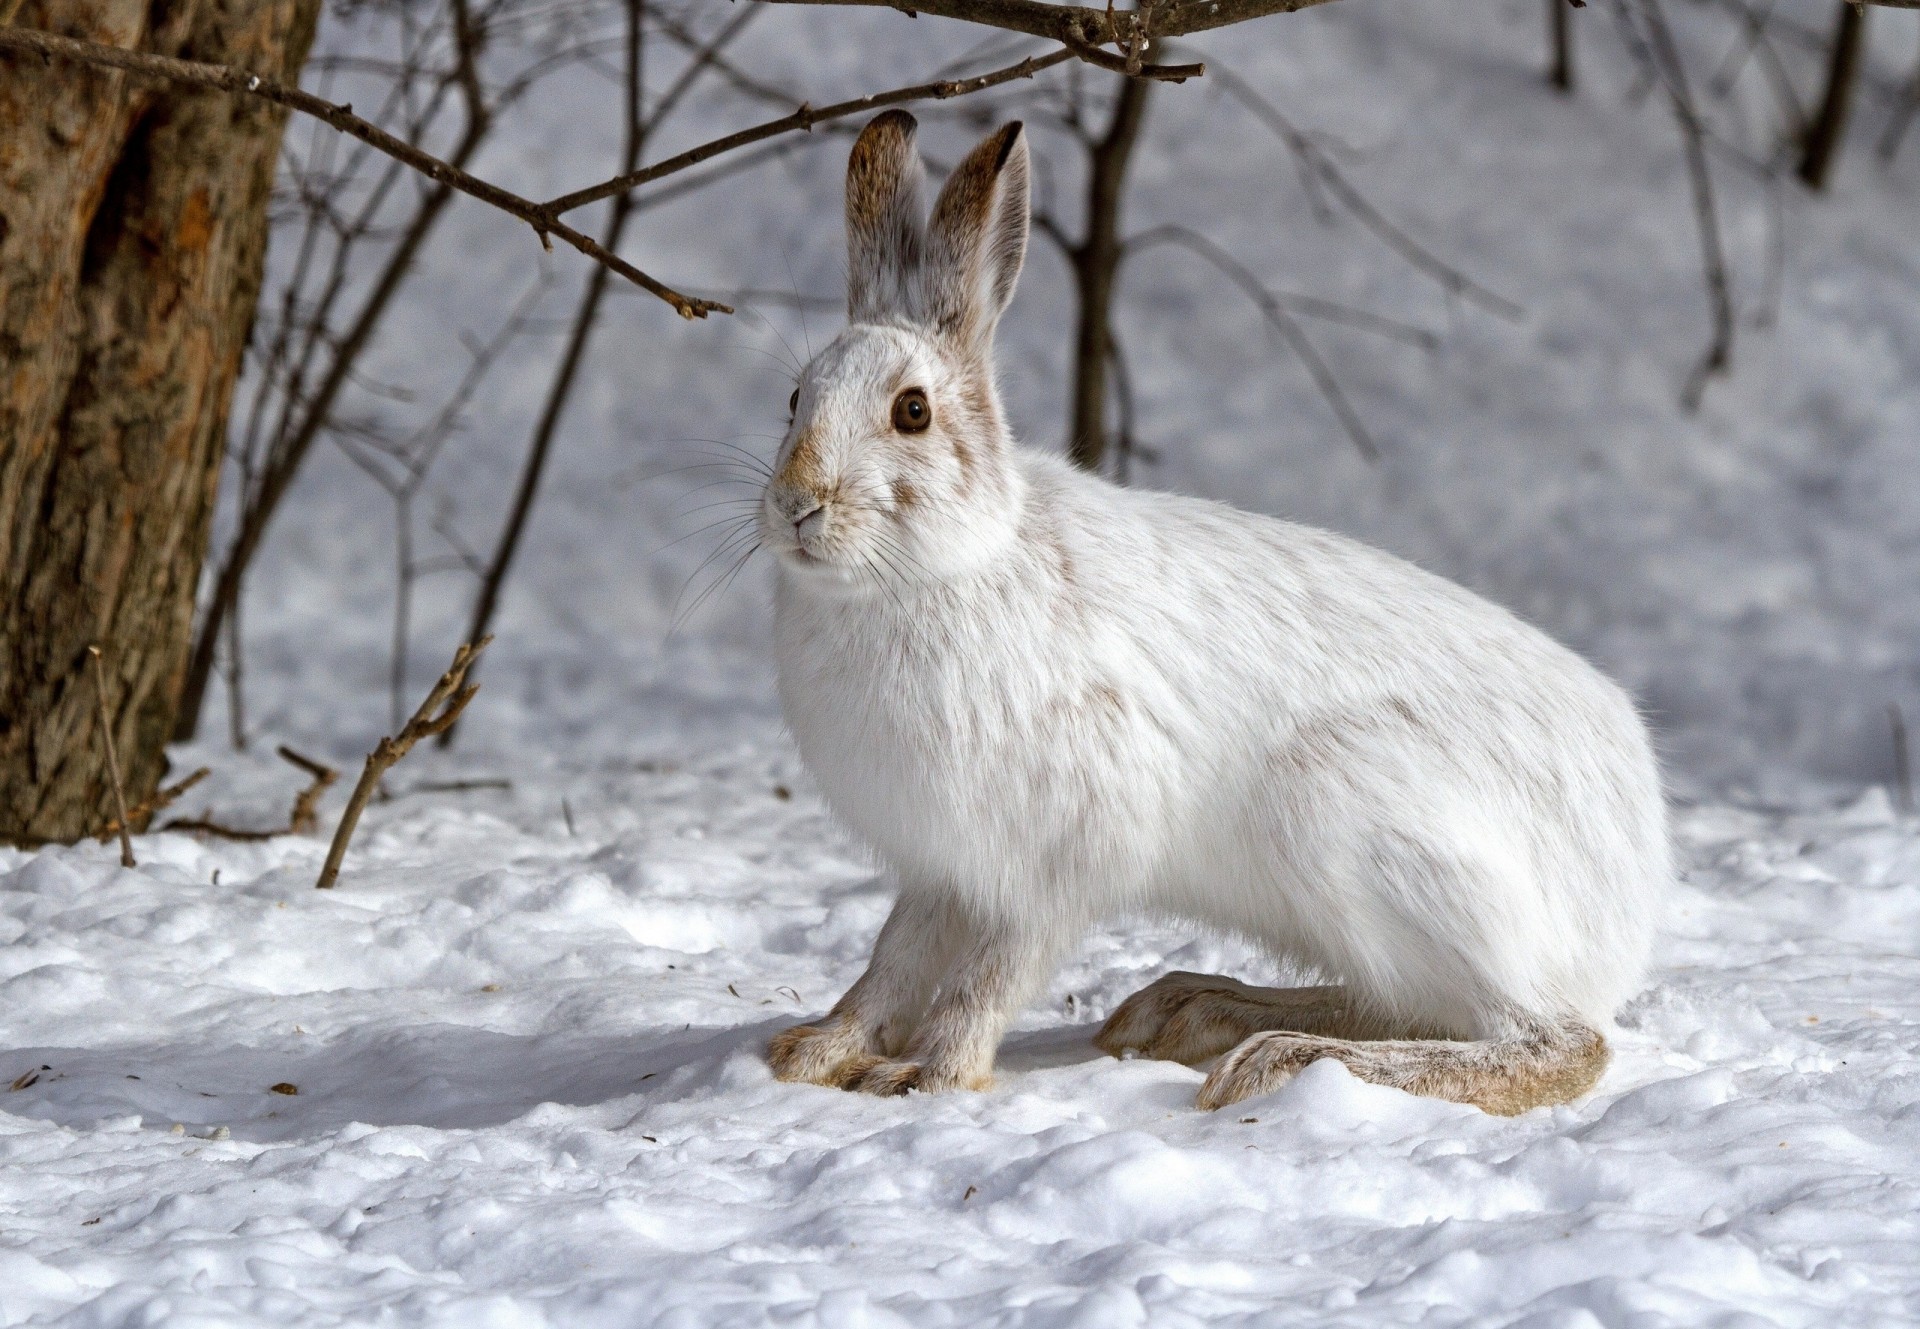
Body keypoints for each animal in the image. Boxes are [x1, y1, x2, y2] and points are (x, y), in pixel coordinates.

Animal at [762, 109, 1669, 1114]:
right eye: (795, 399)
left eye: (912, 412)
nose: (796, 504)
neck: (946, 565)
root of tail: (1634, 878)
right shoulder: (943, 867)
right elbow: (893, 957)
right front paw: (812, 1052)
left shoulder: (1059, 858)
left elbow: (990, 974)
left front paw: (930, 1075)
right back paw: (1195, 1011)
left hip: (1359, 828)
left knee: (1554, 1040)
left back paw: (1280, 1058)